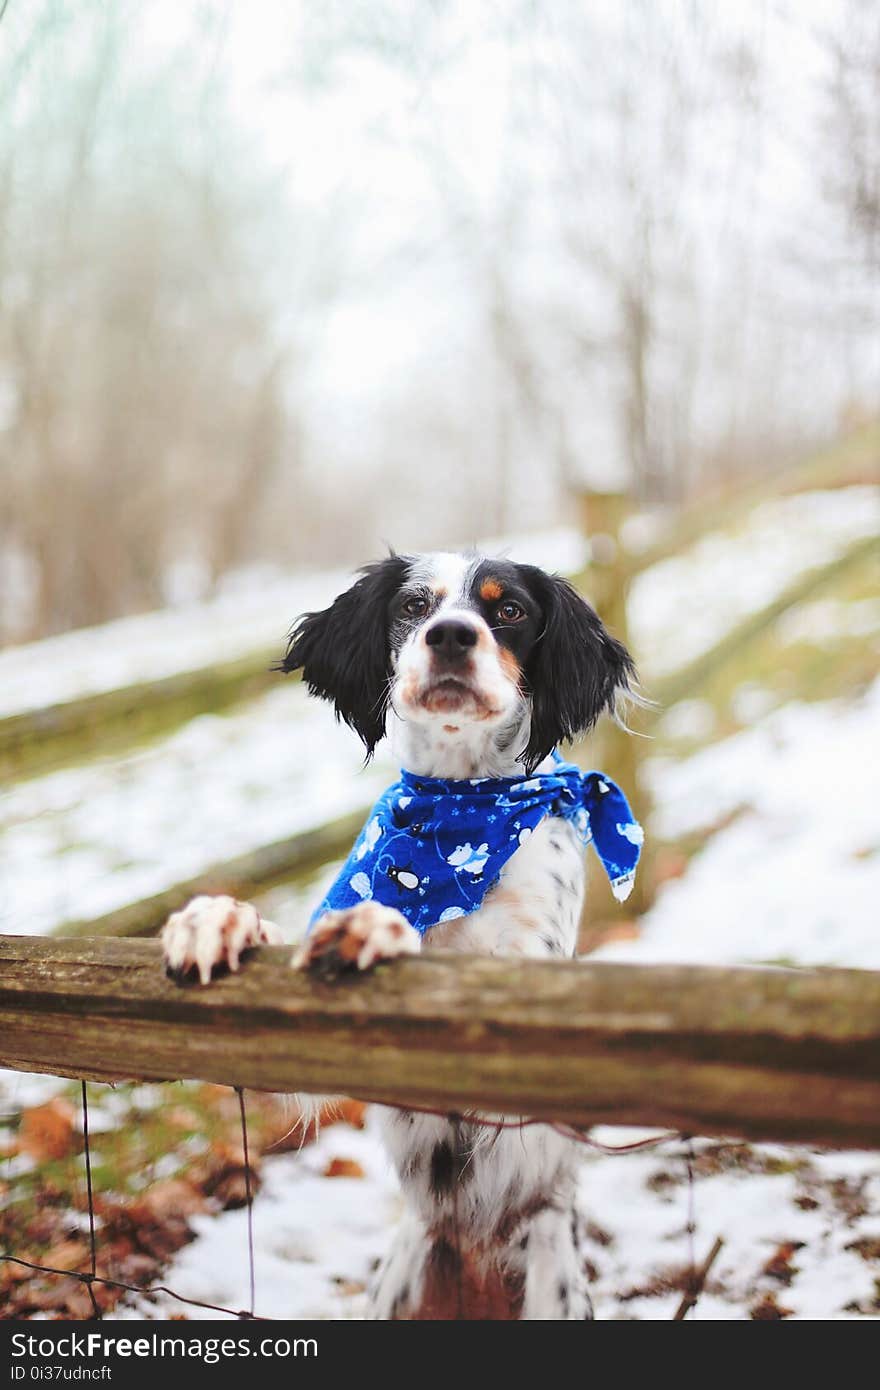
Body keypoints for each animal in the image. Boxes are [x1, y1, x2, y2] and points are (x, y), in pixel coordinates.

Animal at [159, 547, 639, 1317]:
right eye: (414, 606)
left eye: (509, 610)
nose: (451, 635)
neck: (460, 812)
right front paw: (217, 919)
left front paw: (380, 923)